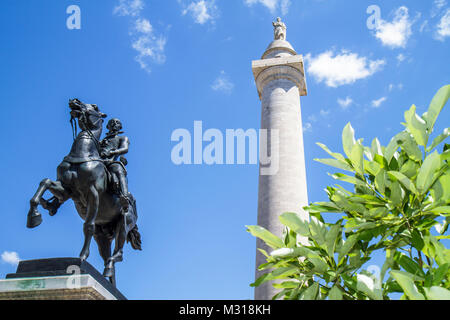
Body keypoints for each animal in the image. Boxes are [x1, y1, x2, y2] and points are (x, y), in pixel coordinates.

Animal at [26, 98, 141, 284]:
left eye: (95, 107)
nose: (74, 101)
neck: (83, 155)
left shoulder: (93, 194)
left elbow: (88, 225)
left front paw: (81, 258)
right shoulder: (66, 190)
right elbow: (45, 182)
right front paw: (34, 217)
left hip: (124, 222)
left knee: (119, 251)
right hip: (102, 236)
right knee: (108, 259)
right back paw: (109, 276)